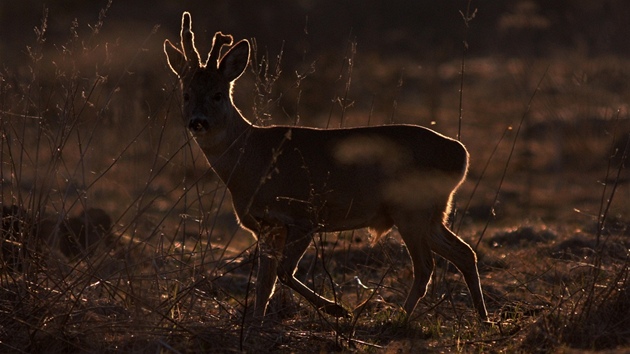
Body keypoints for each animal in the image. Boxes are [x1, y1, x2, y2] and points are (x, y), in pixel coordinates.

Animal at [163, 11, 488, 320]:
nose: (198, 122)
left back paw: (398, 318)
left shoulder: (304, 214)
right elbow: (264, 283)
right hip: (431, 212)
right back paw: (482, 318)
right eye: (186, 94)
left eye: (218, 94)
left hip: (411, 207)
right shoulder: (265, 227)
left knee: (426, 265)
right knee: (464, 253)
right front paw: (256, 322)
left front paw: (337, 309)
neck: (252, 162)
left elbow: (283, 273)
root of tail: (461, 154)